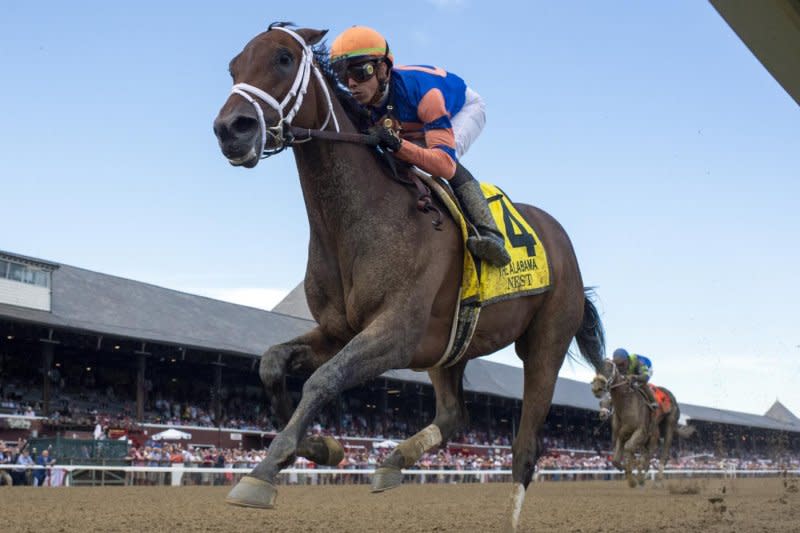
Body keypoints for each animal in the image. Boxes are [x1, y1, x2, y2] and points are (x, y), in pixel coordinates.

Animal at [214, 22, 608, 528]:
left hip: (545, 342)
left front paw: (263, 471)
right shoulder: (339, 331)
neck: (358, 219)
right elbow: (271, 363)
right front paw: (321, 447)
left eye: (283, 58)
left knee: (525, 448)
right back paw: (392, 462)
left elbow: (322, 380)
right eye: (233, 67)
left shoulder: (396, 332)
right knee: (454, 416)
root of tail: (561, 239)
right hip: (450, 348)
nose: (231, 129)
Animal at [588, 358, 692, 486]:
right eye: (601, 403)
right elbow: (616, 459)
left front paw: (633, 477)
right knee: (648, 454)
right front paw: (628, 472)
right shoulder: (621, 435)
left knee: (662, 453)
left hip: (668, 425)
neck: (625, 403)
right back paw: (642, 476)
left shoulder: (641, 432)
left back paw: (656, 479)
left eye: (608, 369)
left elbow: (630, 449)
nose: (596, 388)